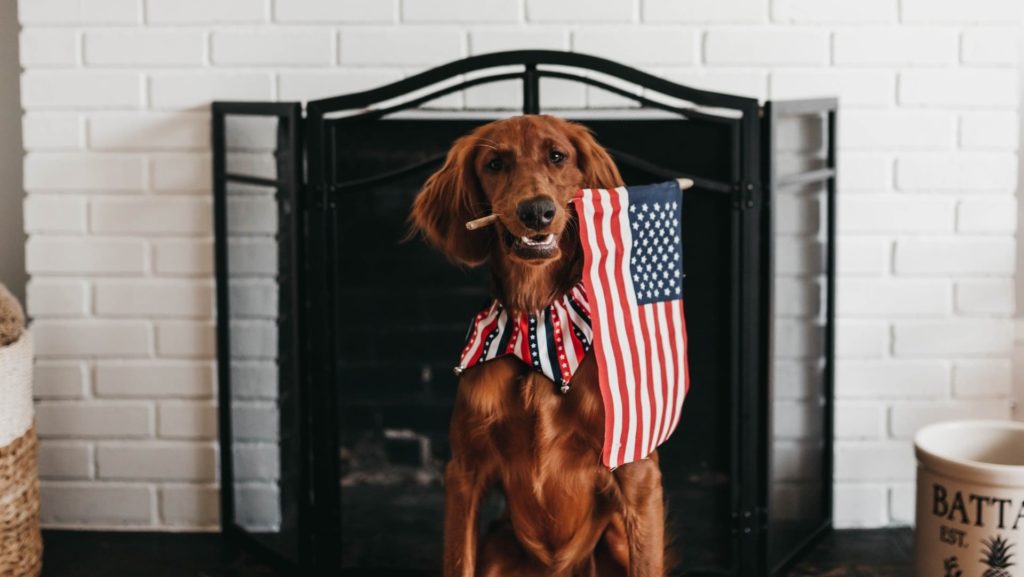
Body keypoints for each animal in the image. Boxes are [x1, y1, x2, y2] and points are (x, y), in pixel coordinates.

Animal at [411, 116, 667, 577]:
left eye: (557, 156)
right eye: (495, 163)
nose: (536, 211)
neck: (537, 324)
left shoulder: (637, 472)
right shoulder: (464, 472)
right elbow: (458, 559)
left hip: (614, 538)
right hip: (499, 545)